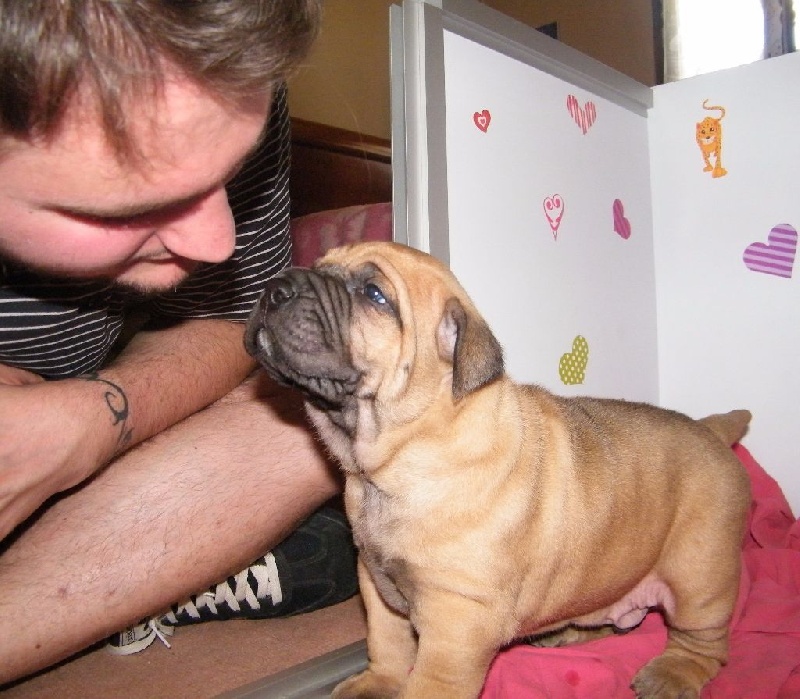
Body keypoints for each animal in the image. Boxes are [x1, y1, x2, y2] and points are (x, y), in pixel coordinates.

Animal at [244, 242, 752, 699]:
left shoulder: (456, 621)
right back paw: (568, 633)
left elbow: (430, 684)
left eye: (374, 295)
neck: (394, 461)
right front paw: (375, 685)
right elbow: (386, 645)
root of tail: (711, 430)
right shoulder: (376, 581)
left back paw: (671, 674)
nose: (275, 287)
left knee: (704, 642)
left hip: (699, 577)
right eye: (319, 263)